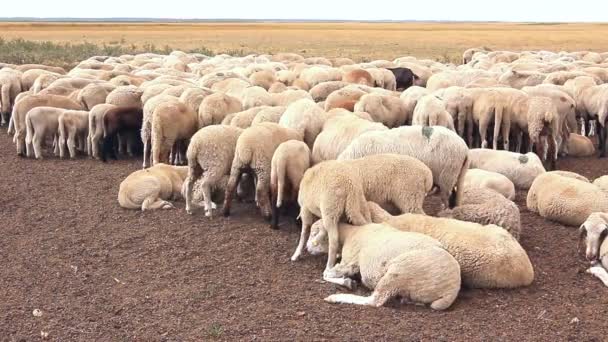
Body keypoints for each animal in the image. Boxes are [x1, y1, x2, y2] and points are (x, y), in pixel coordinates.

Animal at [292, 154, 434, 276]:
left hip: (409, 197)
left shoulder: (308, 208)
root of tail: (427, 173)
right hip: (362, 203)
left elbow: (305, 231)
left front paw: (298, 252)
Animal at [306, 220, 458, 312]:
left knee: (374, 301)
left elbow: (326, 274)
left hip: (399, 271)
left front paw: (347, 282)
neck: (350, 233)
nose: (307, 248)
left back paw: (336, 297)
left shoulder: (350, 262)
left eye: (314, 233)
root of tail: (451, 290)